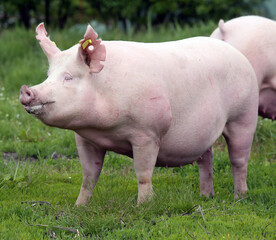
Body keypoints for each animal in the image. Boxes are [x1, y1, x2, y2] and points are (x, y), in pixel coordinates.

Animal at [20, 23, 258, 205]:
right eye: (48, 75)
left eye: (68, 77)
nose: (26, 90)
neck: (104, 129)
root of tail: (239, 55)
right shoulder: (85, 139)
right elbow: (88, 176)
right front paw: (79, 206)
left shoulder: (148, 133)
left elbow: (143, 173)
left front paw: (142, 206)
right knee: (206, 159)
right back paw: (206, 197)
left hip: (244, 116)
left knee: (239, 160)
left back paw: (240, 197)